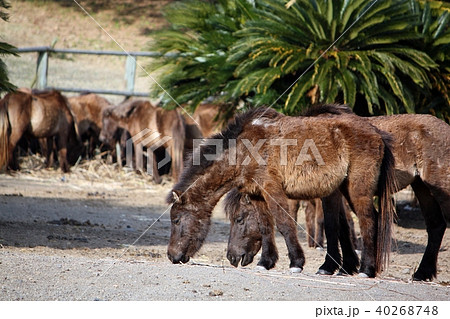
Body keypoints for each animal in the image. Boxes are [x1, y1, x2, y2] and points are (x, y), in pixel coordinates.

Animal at [167, 107, 396, 278]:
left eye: (176, 220)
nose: (171, 256)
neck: (243, 150)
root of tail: (377, 133)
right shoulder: (257, 194)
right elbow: (266, 226)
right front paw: (266, 262)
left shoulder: (272, 189)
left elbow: (284, 224)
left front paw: (296, 262)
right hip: (343, 189)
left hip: (357, 189)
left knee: (368, 221)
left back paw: (367, 269)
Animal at [227, 106, 448, 282]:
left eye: (239, 218)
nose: (231, 257)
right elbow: (340, 226)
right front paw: (346, 266)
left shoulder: (331, 194)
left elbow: (336, 226)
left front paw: (332, 266)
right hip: (421, 188)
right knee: (436, 226)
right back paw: (422, 273)